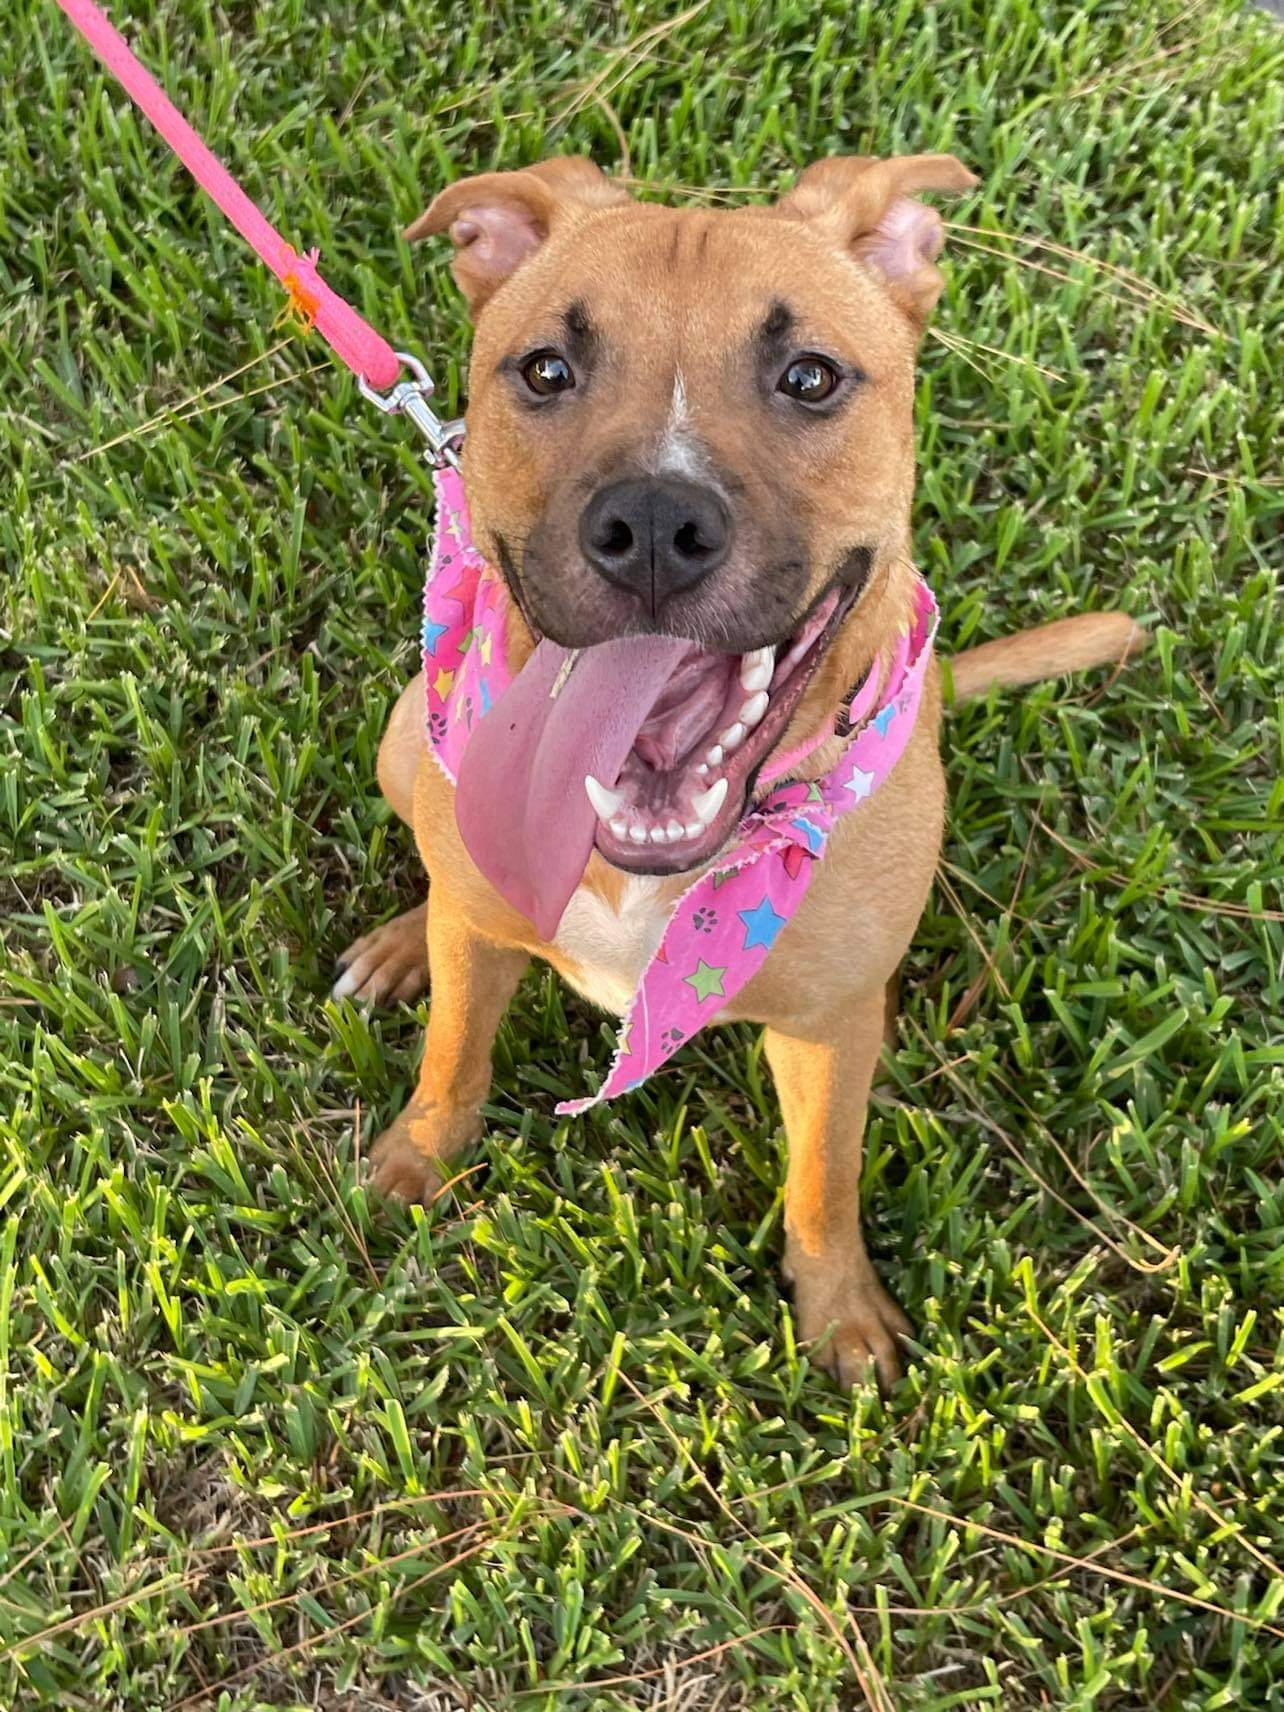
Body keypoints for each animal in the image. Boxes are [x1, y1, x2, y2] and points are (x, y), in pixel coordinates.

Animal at [333, 154, 1143, 1390]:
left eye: (809, 376)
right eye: (547, 369)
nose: (654, 523)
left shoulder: (836, 1022)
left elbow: (824, 1177)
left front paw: (842, 1314)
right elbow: (454, 1059)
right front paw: (415, 1159)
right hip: (400, 743)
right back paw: (402, 943)